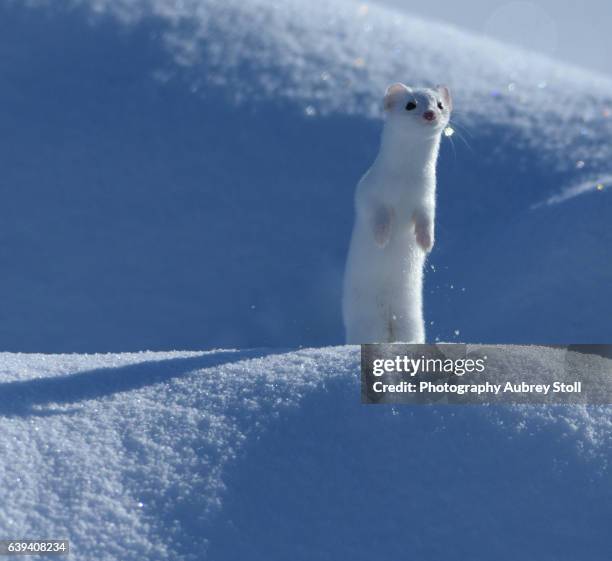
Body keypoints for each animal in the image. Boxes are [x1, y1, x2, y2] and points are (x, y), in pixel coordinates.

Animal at [342, 82, 452, 342]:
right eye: (410, 104)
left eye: (440, 105)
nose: (430, 114)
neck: (405, 182)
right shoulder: (369, 191)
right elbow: (376, 212)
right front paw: (382, 237)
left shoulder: (427, 198)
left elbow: (426, 220)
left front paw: (426, 242)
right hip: (365, 320)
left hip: (412, 322)